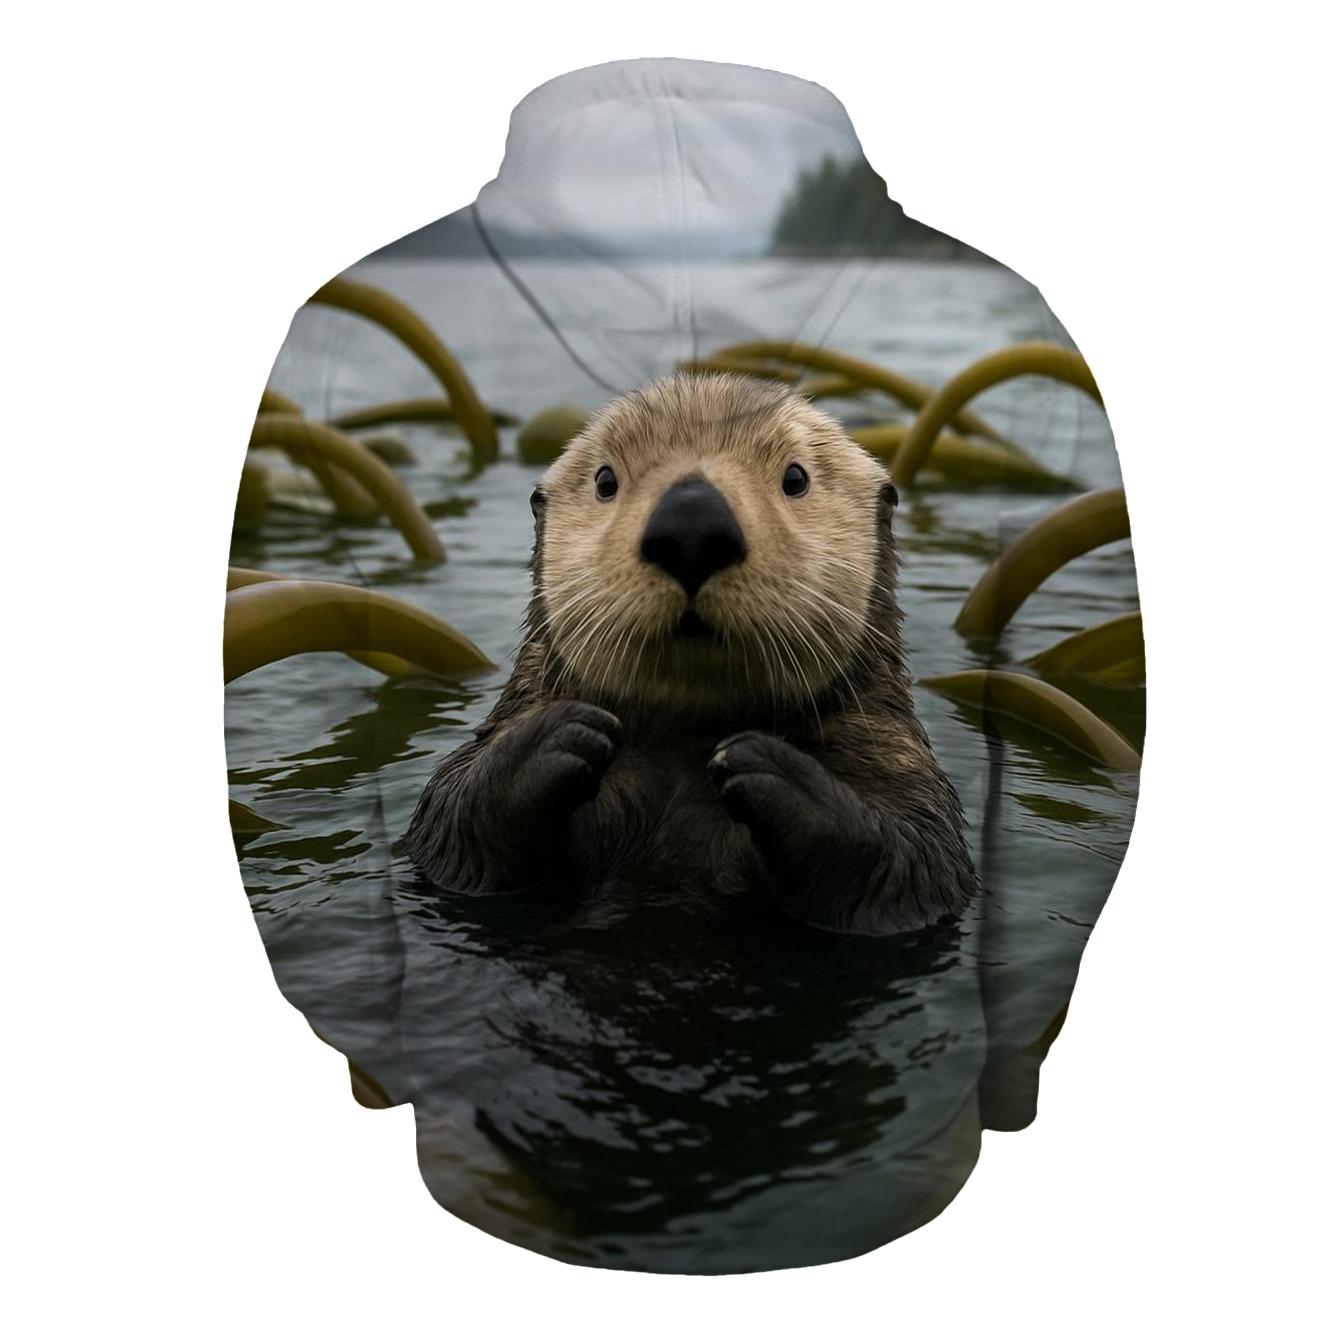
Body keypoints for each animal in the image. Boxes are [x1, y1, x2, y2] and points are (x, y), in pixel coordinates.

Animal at [406, 374, 977, 935]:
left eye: (796, 478)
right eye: (605, 481)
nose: (692, 525)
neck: (682, 746)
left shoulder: (897, 759)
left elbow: (910, 863)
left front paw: (762, 761)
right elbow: (451, 819)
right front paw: (561, 733)